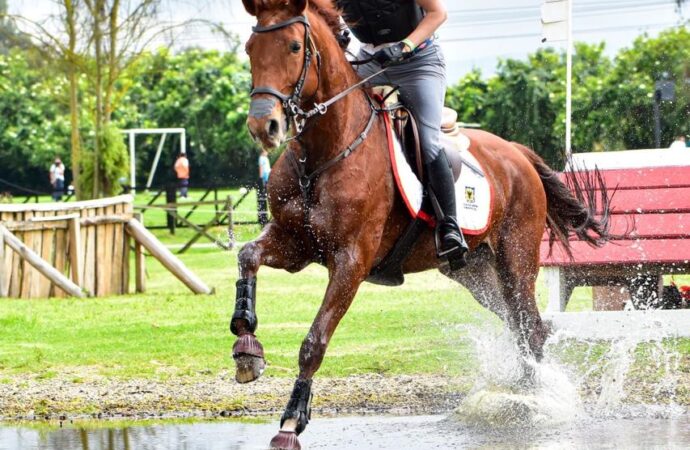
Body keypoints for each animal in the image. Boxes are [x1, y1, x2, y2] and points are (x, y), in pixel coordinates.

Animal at [233, 0, 611, 448]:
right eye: (250, 48)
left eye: (294, 46)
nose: (264, 126)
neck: (325, 153)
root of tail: (517, 153)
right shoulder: (295, 244)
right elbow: (248, 255)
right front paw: (246, 348)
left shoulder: (350, 262)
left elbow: (314, 341)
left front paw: (291, 423)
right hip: (476, 274)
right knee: (518, 325)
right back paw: (522, 389)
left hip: (516, 261)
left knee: (531, 327)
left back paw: (535, 401)